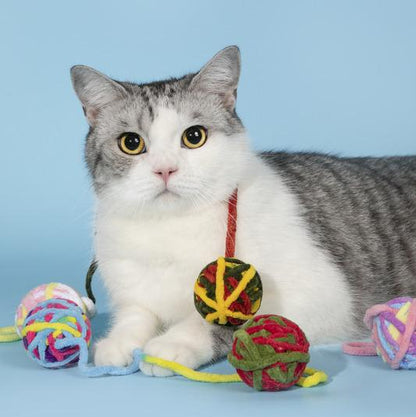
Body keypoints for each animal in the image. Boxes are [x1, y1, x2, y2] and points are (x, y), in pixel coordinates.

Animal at [70, 46, 416, 376]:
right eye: (131, 143)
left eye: (194, 136)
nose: (165, 170)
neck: (171, 228)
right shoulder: (133, 288)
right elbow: (137, 314)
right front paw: (118, 342)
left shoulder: (319, 297)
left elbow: (223, 320)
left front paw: (173, 344)